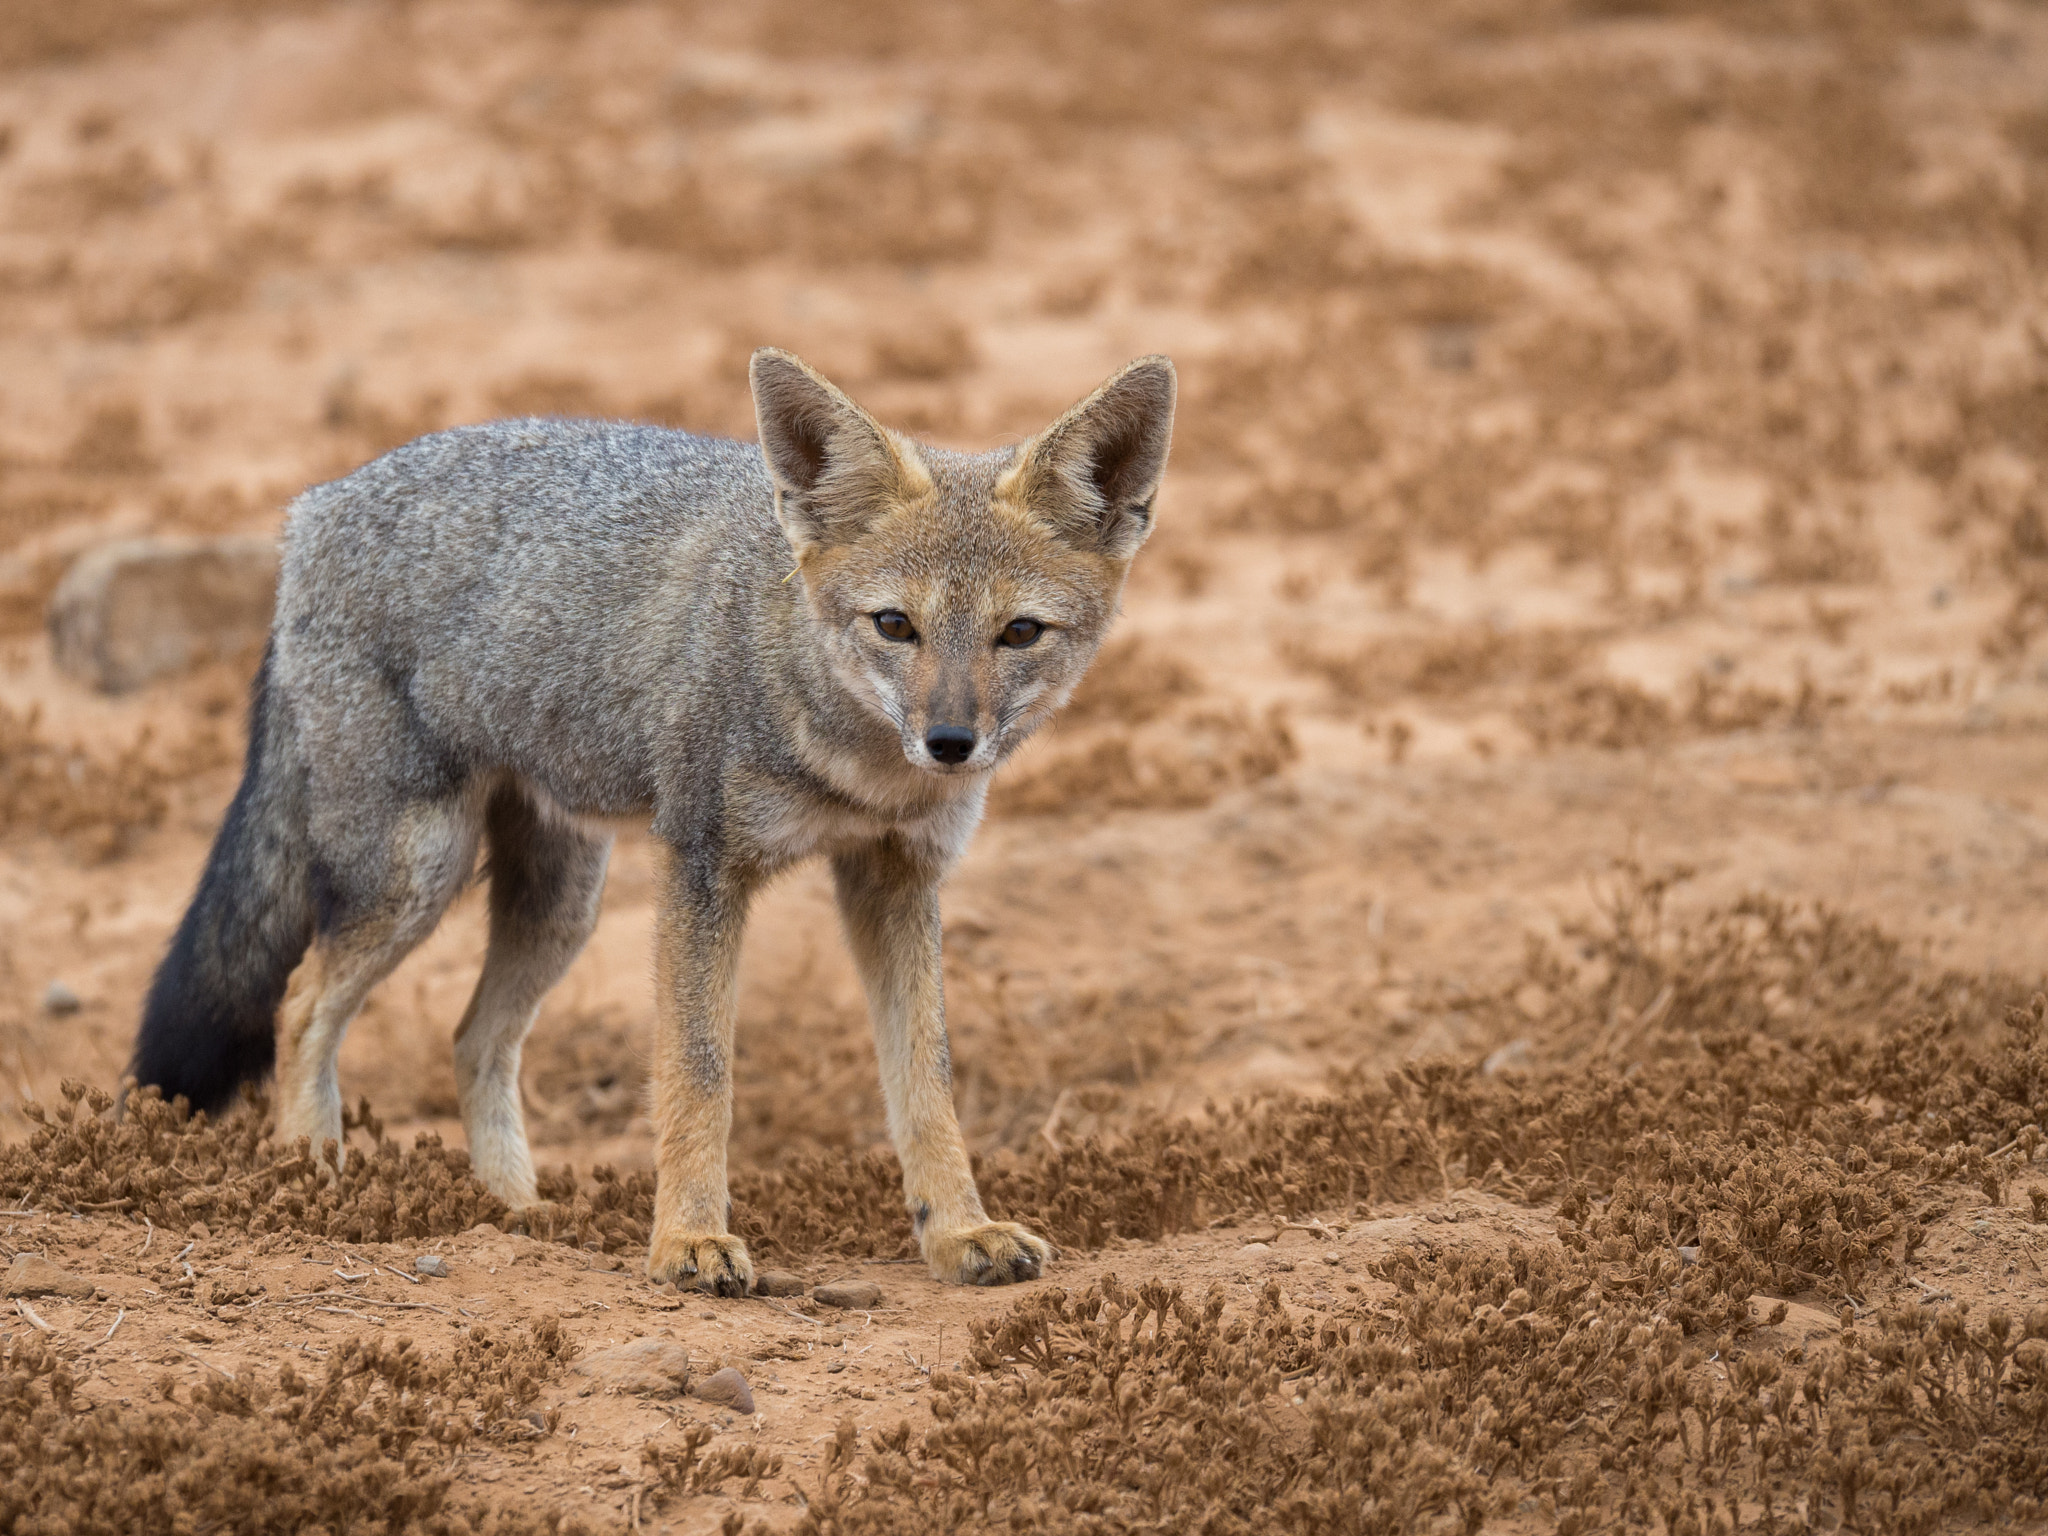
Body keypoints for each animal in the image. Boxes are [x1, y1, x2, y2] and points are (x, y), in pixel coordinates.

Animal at [126, 348, 1175, 1293]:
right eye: (894, 626)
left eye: (1019, 634)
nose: (951, 742)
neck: (857, 767)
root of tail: (312, 508)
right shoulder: (704, 865)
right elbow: (698, 1071)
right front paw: (689, 1244)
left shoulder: (894, 876)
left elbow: (926, 1078)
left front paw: (958, 1231)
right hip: (418, 873)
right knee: (303, 1004)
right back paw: (316, 1185)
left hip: (562, 905)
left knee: (473, 1038)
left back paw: (515, 1214)